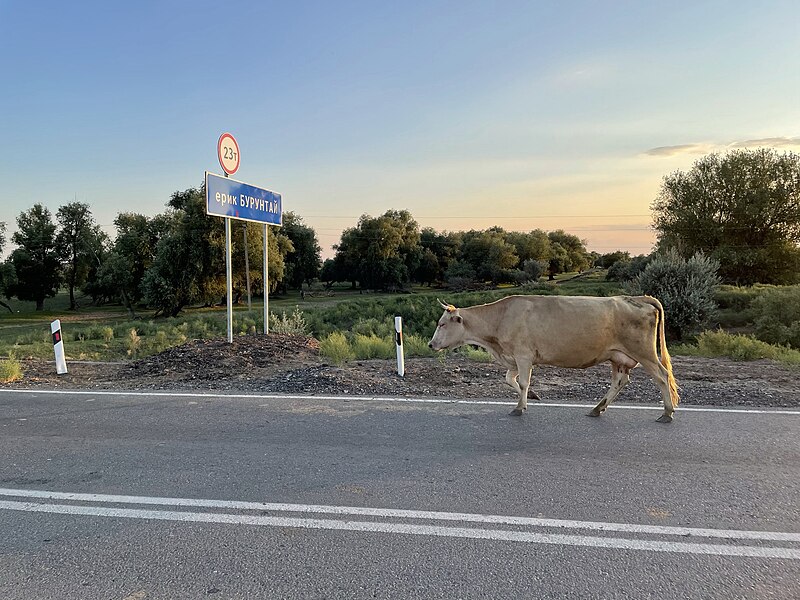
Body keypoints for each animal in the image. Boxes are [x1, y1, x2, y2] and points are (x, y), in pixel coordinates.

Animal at [428, 294, 680, 422]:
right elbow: (510, 380)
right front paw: (531, 396)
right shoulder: (514, 358)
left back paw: (667, 413)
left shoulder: (523, 355)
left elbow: (522, 381)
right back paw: (597, 408)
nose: (431, 344)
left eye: (442, 324)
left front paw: (520, 406)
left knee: (662, 375)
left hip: (644, 352)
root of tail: (637, 297)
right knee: (620, 381)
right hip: (618, 357)